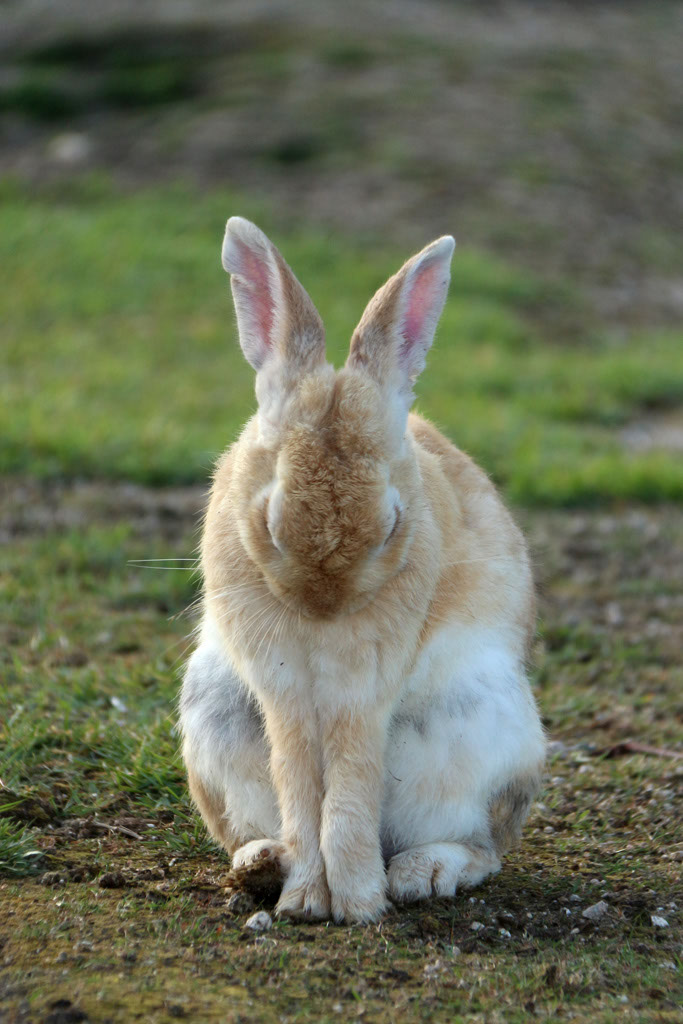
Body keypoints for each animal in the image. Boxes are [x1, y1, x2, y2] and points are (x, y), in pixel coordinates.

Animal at [179, 216, 546, 924]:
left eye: (393, 522)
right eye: (269, 520)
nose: (325, 600)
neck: (323, 623)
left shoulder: (367, 682)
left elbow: (348, 782)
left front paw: (355, 903)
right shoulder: (282, 685)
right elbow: (301, 777)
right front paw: (305, 901)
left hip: (482, 735)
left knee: (483, 849)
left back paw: (419, 873)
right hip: (212, 719)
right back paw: (262, 864)